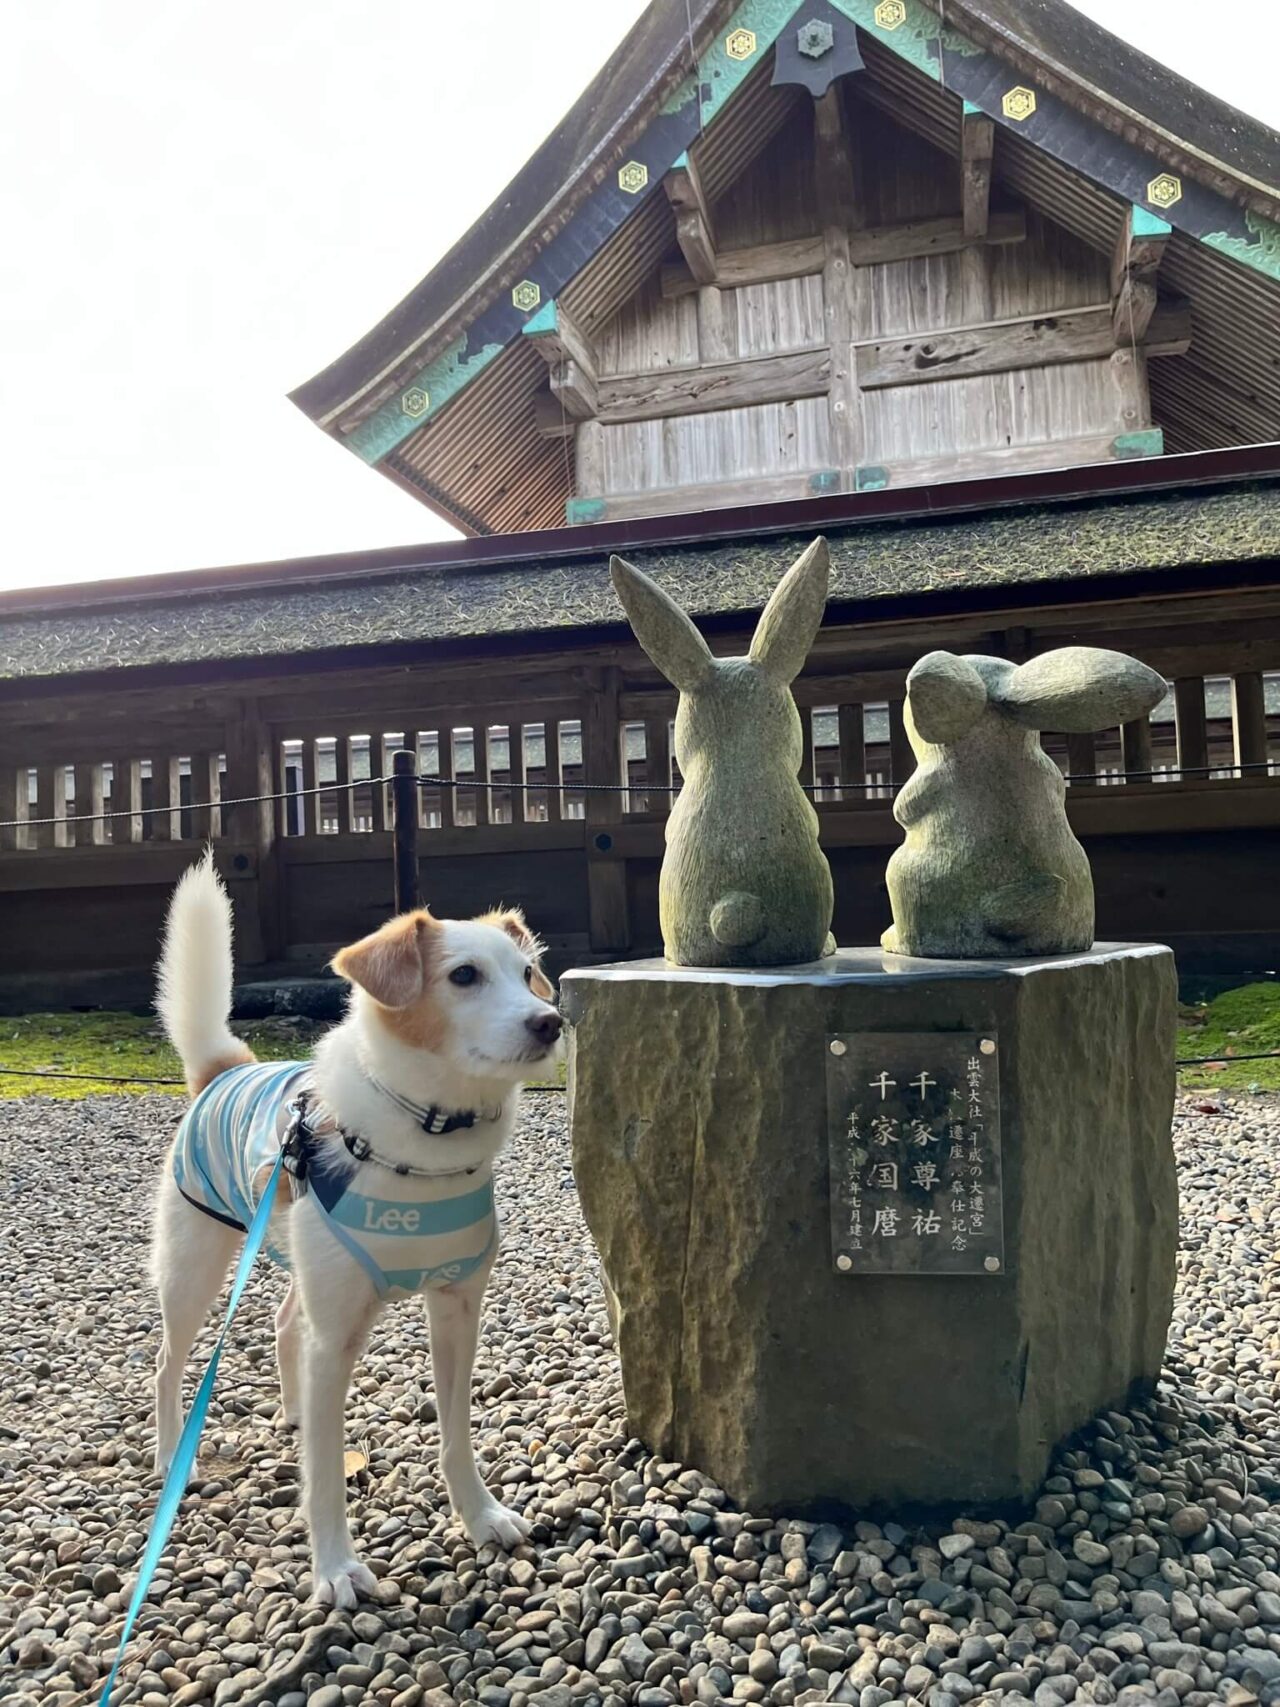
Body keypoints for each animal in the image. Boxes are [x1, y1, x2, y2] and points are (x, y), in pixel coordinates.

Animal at [150, 860, 559, 1604]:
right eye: (464, 975)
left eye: (526, 973)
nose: (551, 1021)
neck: (427, 1134)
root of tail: (225, 1067)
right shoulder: (335, 1337)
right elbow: (323, 1472)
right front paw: (335, 1567)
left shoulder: (457, 1307)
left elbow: (456, 1433)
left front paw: (480, 1515)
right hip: (194, 1266)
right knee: (169, 1364)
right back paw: (172, 1456)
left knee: (286, 1320)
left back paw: (289, 1411)